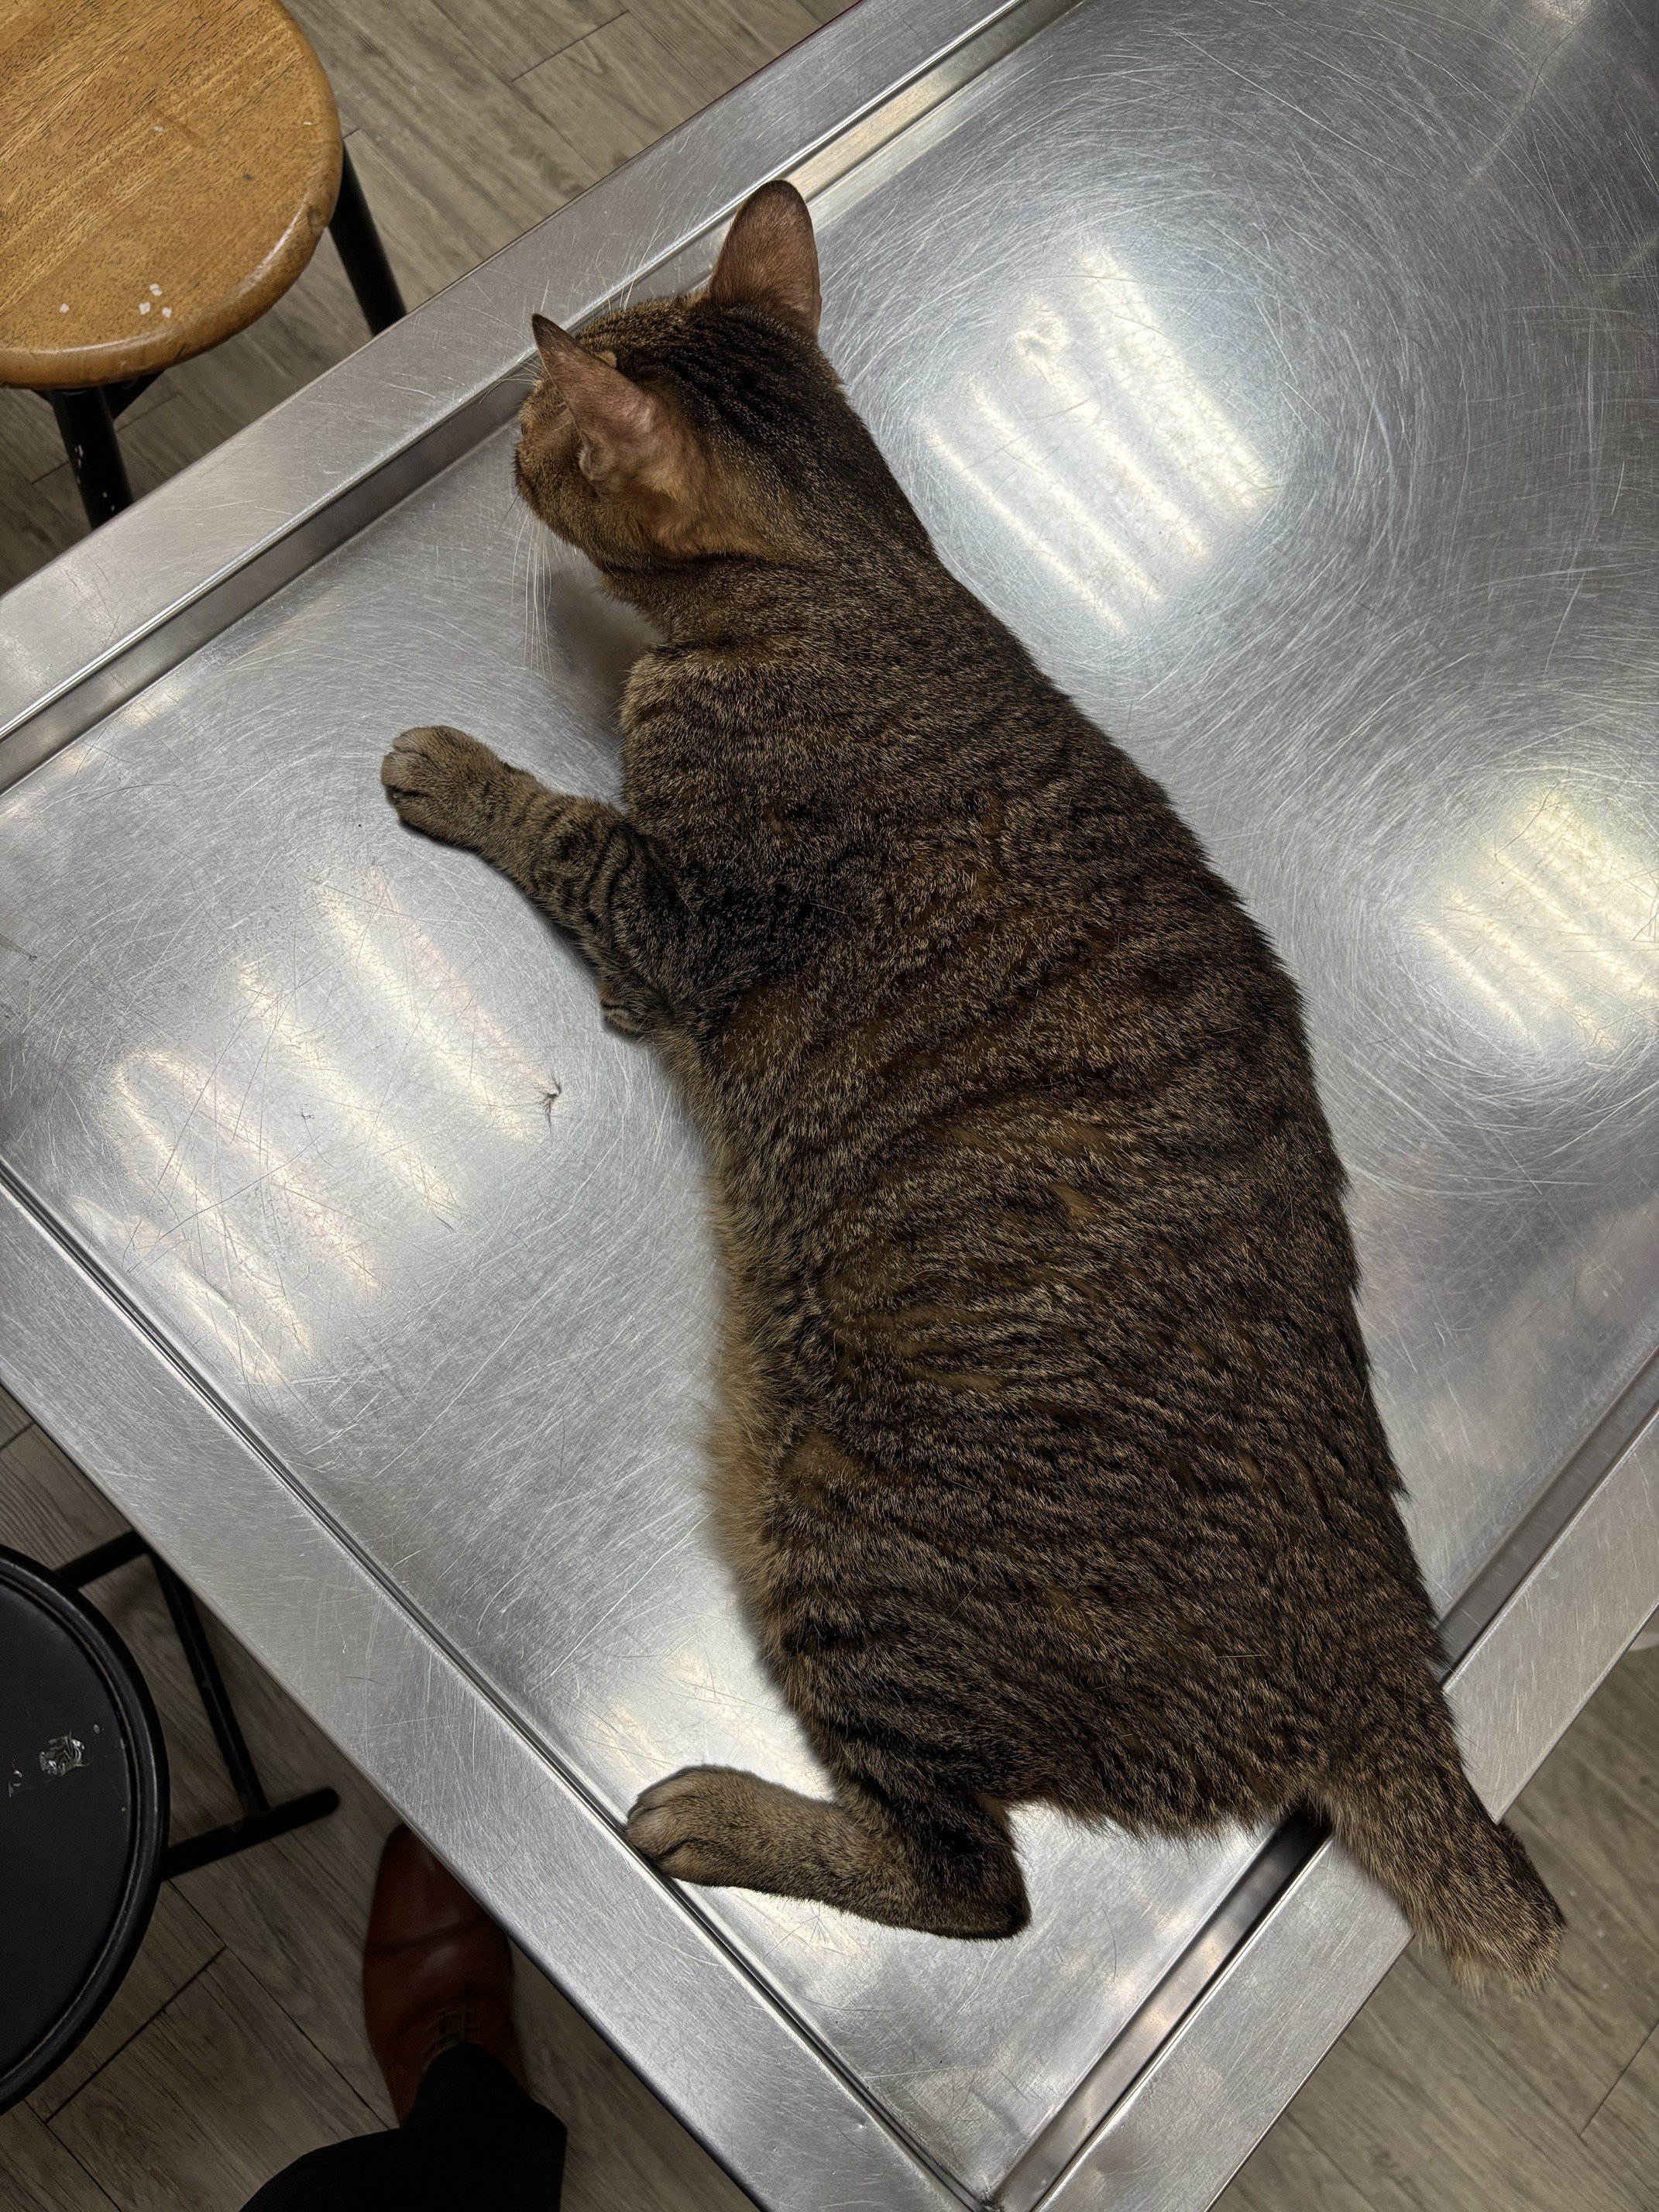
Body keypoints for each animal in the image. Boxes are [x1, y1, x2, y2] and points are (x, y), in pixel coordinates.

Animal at [382, 181, 1562, 1986]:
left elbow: (563, 825)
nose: (509, 429)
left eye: (541, 422)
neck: (860, 578)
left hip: (847, 1540)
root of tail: (1381, 1664)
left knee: (973, 1883)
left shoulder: (674, 907)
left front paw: (456, 768)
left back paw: (726, 1814)